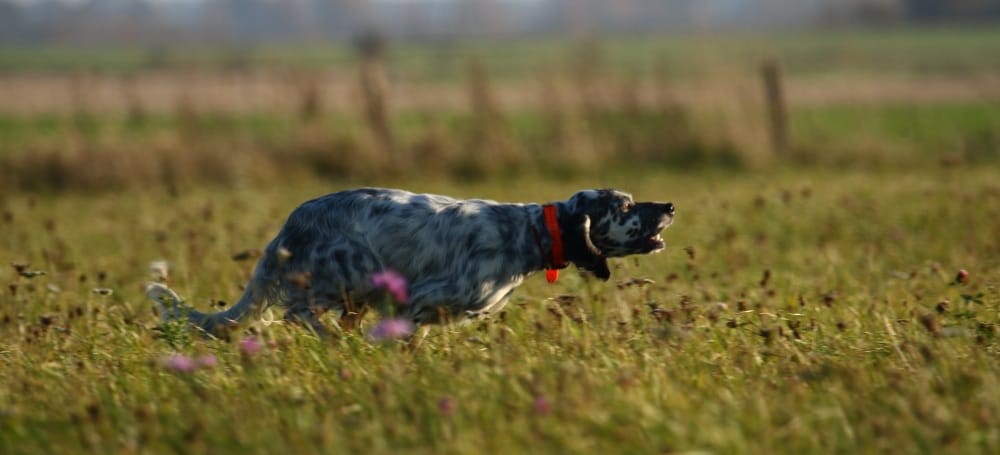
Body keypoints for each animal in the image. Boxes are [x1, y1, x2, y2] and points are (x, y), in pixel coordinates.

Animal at [148, 188, 676, 334]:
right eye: (625, 205)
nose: (670, 206)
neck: (526, 234)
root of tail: (287, 228)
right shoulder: (417, 298)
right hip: (353, 269)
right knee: (299, 314)